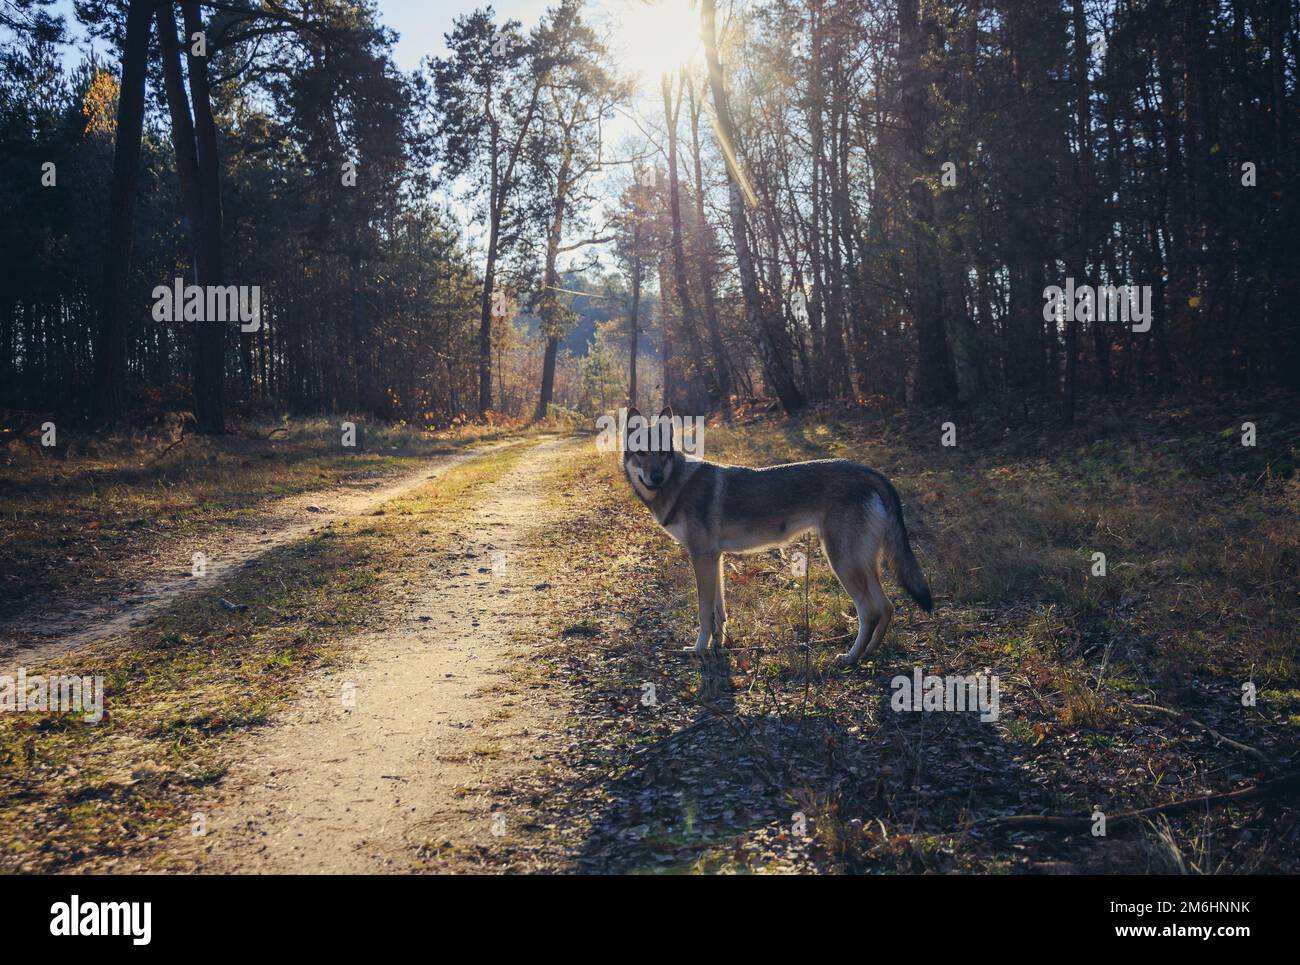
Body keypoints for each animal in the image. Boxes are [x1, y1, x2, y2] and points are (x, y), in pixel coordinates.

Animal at [624, 405, 930, 665]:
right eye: (641, 453)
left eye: (661, 452)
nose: (655, 478)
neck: (677, 485)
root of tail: (867, 471)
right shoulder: (714, 559)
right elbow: (719, 613)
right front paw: (719, 647)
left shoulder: (701, 558)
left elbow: (704, 613)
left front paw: (699, 649)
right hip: (862, 564)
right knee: (887, 606)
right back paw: (869, 653)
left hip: (842, 562)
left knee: (870, 611)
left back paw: (851, 657)